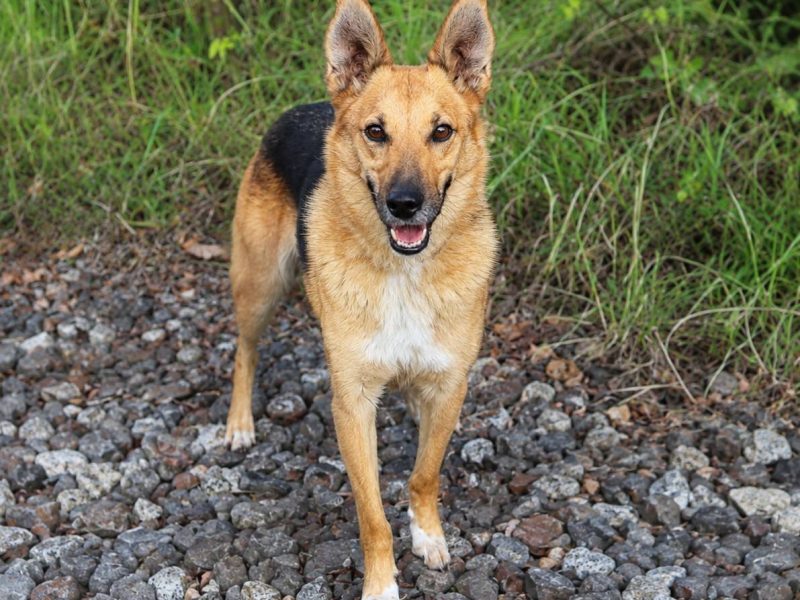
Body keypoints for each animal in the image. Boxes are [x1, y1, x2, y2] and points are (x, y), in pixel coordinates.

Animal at [225, 1, 497, 597]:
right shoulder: (352, 404)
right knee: (244, 352)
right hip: (259, 286)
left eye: (441, 131)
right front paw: (380, 583)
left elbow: (424, 474)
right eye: (376, 132)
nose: (404, 204)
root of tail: (305, 108)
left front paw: (428, 535)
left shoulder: (449, 386)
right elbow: (371, 515)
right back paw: (238, 424)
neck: (404, 273)